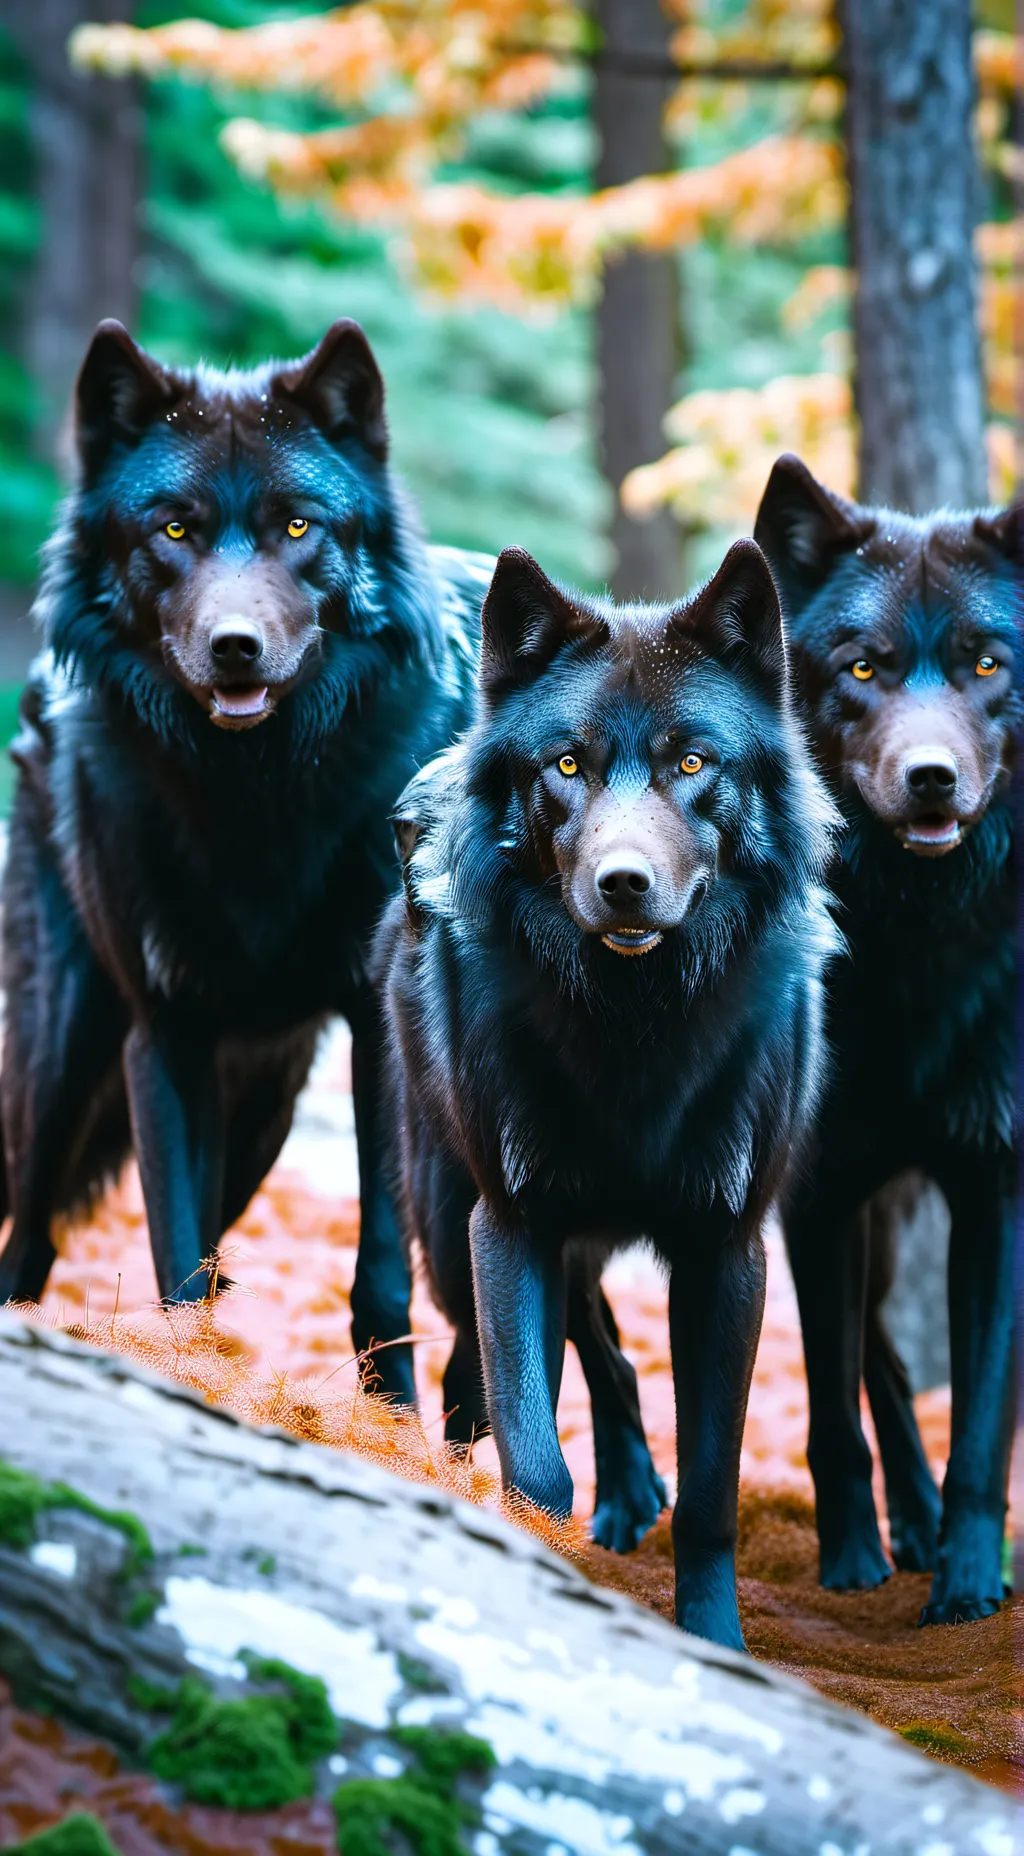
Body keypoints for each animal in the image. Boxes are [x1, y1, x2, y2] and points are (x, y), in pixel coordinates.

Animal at [0, 317, 490, 1403]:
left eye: (298, 527)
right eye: (174, 531)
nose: (235, 646)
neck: (257, 799)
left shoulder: (373, 1036)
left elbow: (381, 1261)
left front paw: (391, 1413)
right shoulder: (165, 1029)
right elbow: (174, 1250)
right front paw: (183, 1369)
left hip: (267, 1103)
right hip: (72, 1038)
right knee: (34, 1216)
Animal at [377, 541, 838, 1646]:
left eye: (691, 763)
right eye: (568, 765)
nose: (624, 882)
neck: (637, 1024)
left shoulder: (726, 1249)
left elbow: (710, 1492)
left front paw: (715, 1641)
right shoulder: (511, 1224)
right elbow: (535, 1459)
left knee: (603, 1356)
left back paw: (630, 1496)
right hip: (451, 1226)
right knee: (491, 1371)